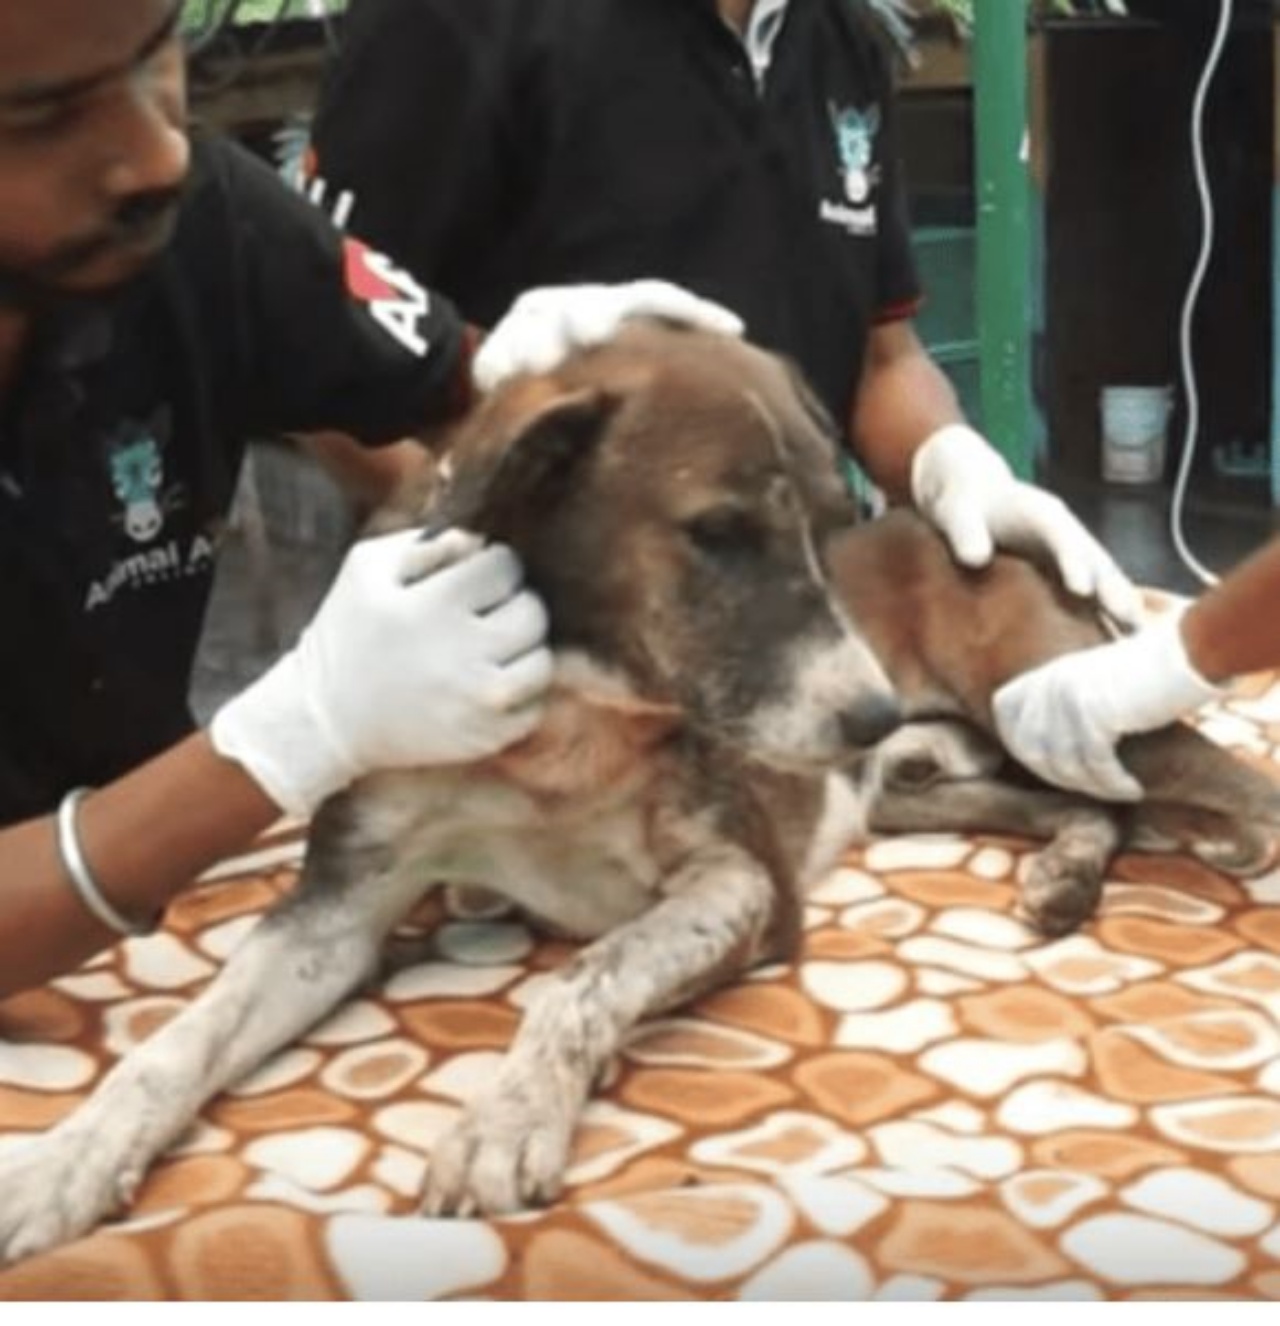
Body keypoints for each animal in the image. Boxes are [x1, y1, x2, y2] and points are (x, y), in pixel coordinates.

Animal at [2, 323, 1278, 1262]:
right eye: (717, 532)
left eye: (828, 528)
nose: (866, 714)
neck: (554, 724)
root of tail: (980, 536)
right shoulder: (338, 907)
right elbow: (178, 1040)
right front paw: (64, 1162)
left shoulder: (741, 882)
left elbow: (579, 981)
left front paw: (504, 1119)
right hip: (922, 786)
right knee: (1089, 806)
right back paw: (1062, 874)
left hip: (1033, 701)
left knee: (1231, 786)